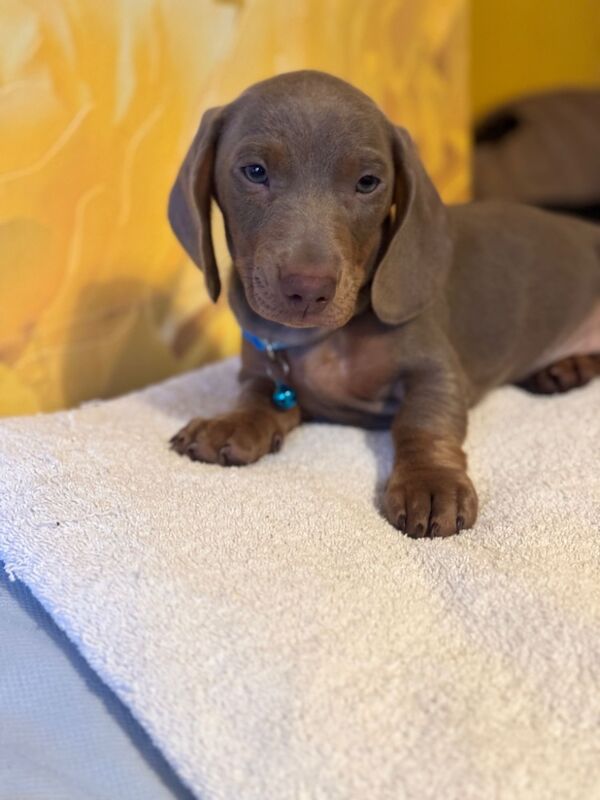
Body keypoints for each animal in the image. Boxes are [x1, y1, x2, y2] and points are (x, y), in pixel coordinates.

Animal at [165, 72, 600, 540]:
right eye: (255, 172)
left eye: (368, 182)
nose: (308, 290)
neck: (327, 338)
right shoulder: (262, 371)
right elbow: (257, 396)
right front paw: (230, 422)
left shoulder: (437, 373)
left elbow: (421, 422)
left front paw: (431, 482)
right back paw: (566, 369)